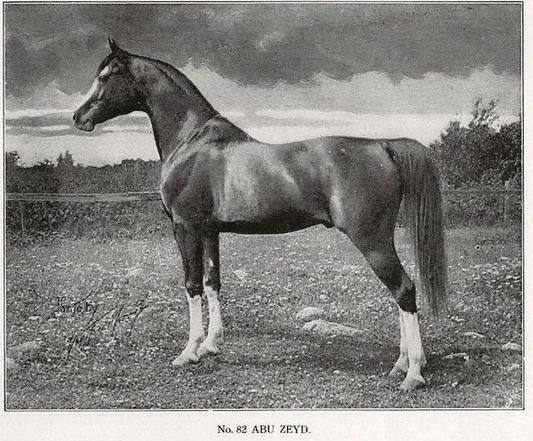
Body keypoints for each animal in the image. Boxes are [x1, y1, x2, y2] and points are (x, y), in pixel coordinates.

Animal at [71, 37, 444, 388]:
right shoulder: (210, 230)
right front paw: (211, 345)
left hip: (372, 241)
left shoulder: (185, 227)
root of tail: (383, 146)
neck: (192, 143)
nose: (78, 117)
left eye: (105, 76)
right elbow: (212, 283)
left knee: (404, 289)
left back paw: (413, 373)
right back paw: (401, 365)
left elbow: (192, 285)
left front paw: (189, 351)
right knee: (399, 295)